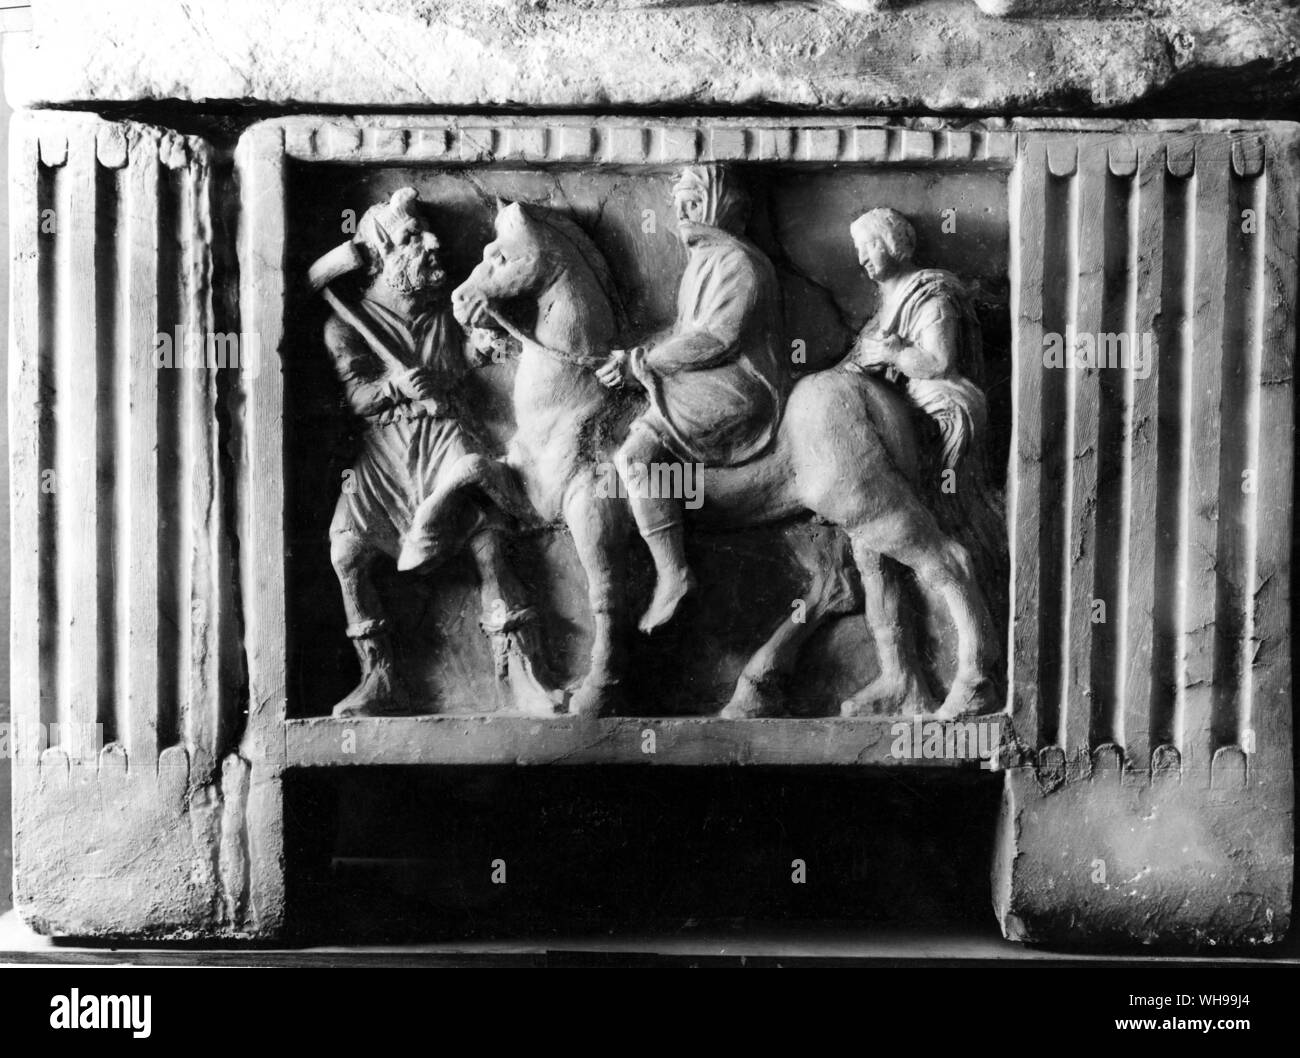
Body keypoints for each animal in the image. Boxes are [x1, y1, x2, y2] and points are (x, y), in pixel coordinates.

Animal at [431, 201, 998, 722]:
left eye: (500, 256)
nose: (460, 301)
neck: (575, 394)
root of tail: (879, 396)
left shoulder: (589, 510)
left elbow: (605, 597)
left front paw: (595, 694)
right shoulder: (533, 496)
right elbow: (467, 469)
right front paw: (424, 543)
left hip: (867, 503)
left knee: (948, 562)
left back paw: (966, 696)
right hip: (834, 517)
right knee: (858, 590)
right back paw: (842, 697)